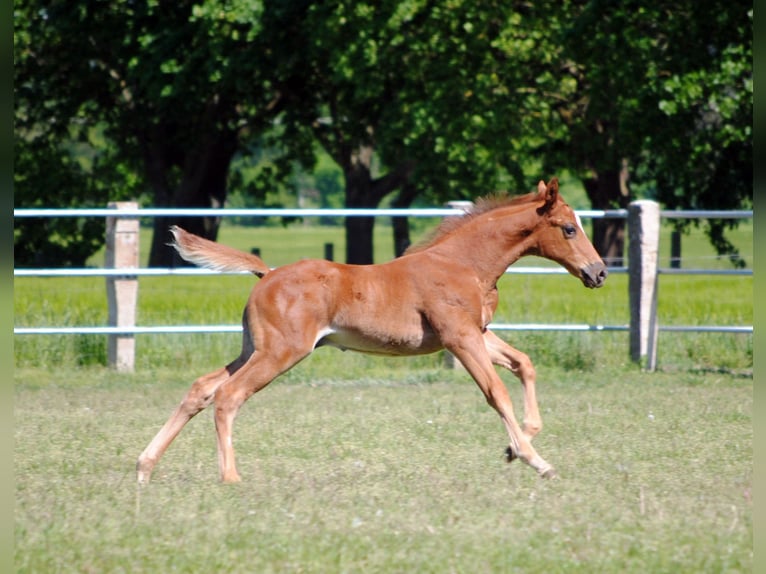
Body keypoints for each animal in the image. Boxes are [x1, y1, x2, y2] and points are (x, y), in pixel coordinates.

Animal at [136, 180, 608, 486]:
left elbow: (524, 365)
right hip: (281, 352)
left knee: (202, 389)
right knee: (229, 396)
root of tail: (266, 273)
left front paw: (515, 446)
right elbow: (497, 393)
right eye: (569, 228)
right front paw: (535, 460)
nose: (599, 272)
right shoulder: (461, 338)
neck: (464, 263)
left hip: (254, 348)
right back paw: (231, 477)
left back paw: (144, 467)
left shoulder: (477, 333)